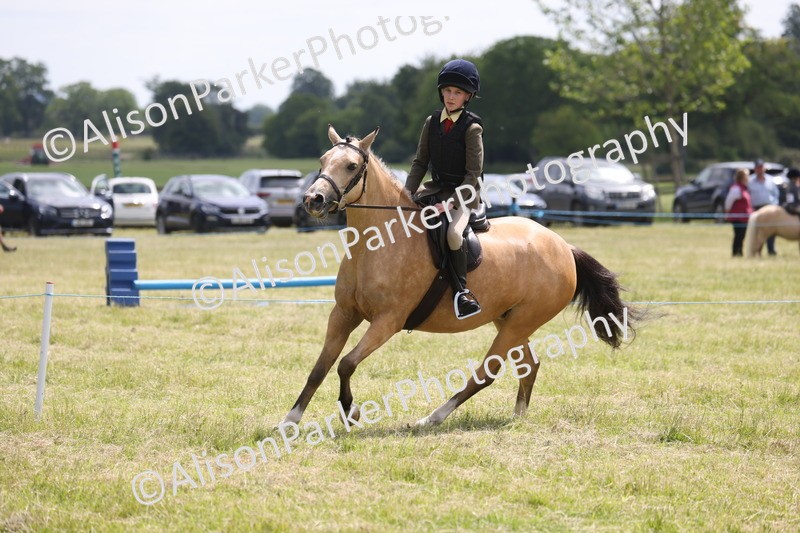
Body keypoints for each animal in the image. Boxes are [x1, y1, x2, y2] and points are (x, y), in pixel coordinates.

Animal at [281, 125, 638, 428]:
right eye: (323, 161)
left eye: (352, 165)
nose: (313, 200)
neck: (378, 243)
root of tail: (564, 247)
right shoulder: (343, 314)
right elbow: (321, 367)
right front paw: (290, 420)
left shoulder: (387, 321)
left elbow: (346, 363)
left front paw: (351, 411)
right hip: (509, 320)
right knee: (529, 364)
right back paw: (517, 416)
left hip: (521, 321)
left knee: (487, 372)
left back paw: (432, 418)